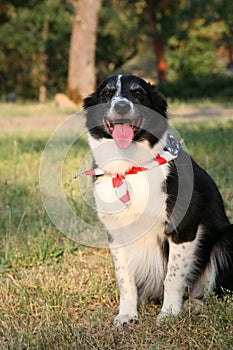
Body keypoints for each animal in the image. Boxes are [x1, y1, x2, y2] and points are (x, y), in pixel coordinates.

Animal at [83, 74, 233, 326]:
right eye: (107, 93)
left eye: (138, 93)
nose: (121, 107)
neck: (131, 168)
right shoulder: (116, 233)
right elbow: (124, 279)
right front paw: (127, 314)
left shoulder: (183, 228)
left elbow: (173, 277)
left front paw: (170, 313)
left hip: (227, 239)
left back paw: (195, 304)